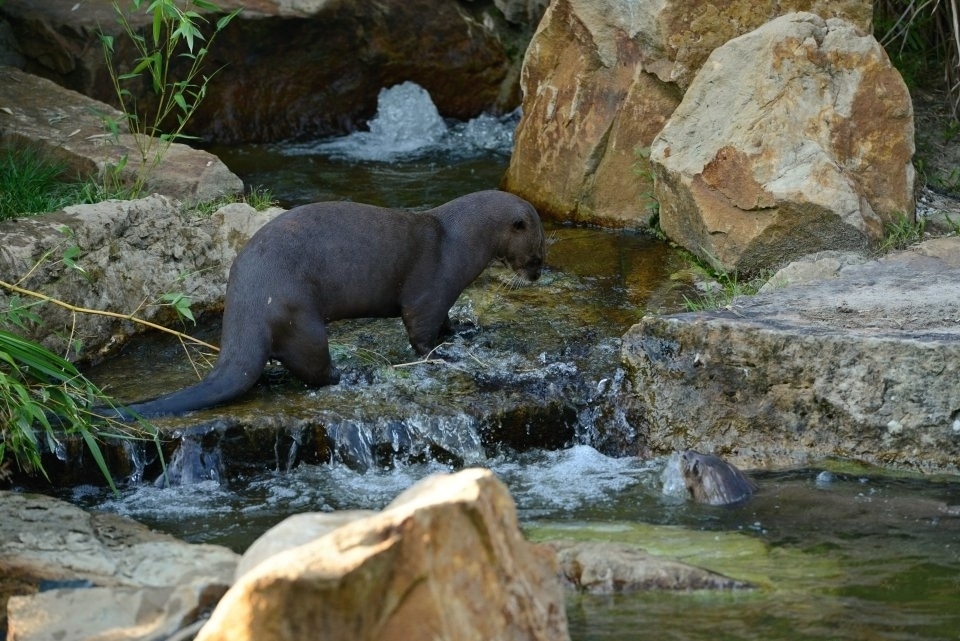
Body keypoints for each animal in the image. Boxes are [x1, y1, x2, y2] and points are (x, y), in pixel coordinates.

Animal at [118, 190, 548, 418]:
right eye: (537, 255)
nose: (537, 275)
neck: (456, 240)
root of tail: (248, 304)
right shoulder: (431, 291)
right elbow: (422, 334)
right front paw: (444, 356)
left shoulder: (443, 301)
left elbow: (446, 324)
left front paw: (464, 333)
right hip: (300, 318)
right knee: (315, 369)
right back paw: (353, 375)